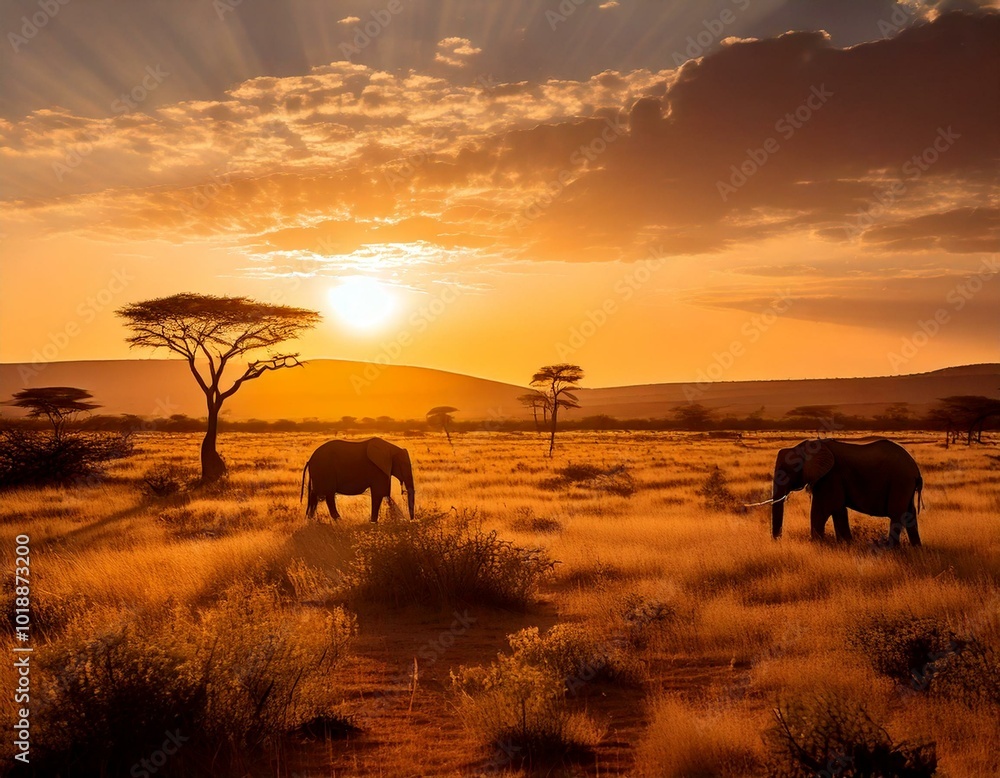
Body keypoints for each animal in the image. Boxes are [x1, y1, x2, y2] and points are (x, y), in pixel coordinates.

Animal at [770, 439, 923, 546]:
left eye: (787, 471)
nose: (778, 541)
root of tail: (916, 469)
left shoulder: (830, 476)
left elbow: (823, 509)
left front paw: (817, 545)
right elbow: (838, 509)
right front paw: (845, 544)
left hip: (900, 481)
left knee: (897, 513)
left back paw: (891, 549)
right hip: (905, 484)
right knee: (910, 515)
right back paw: (916, 548)